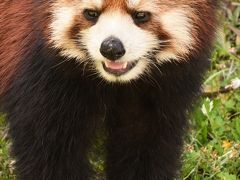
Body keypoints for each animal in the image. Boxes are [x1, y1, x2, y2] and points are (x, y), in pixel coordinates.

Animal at [0, 0, 218, 179]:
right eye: (91, 13)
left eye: (141, 15)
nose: (111, 48)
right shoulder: (45, 78)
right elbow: (50, 154)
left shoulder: (163, 92)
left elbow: (145, 145)